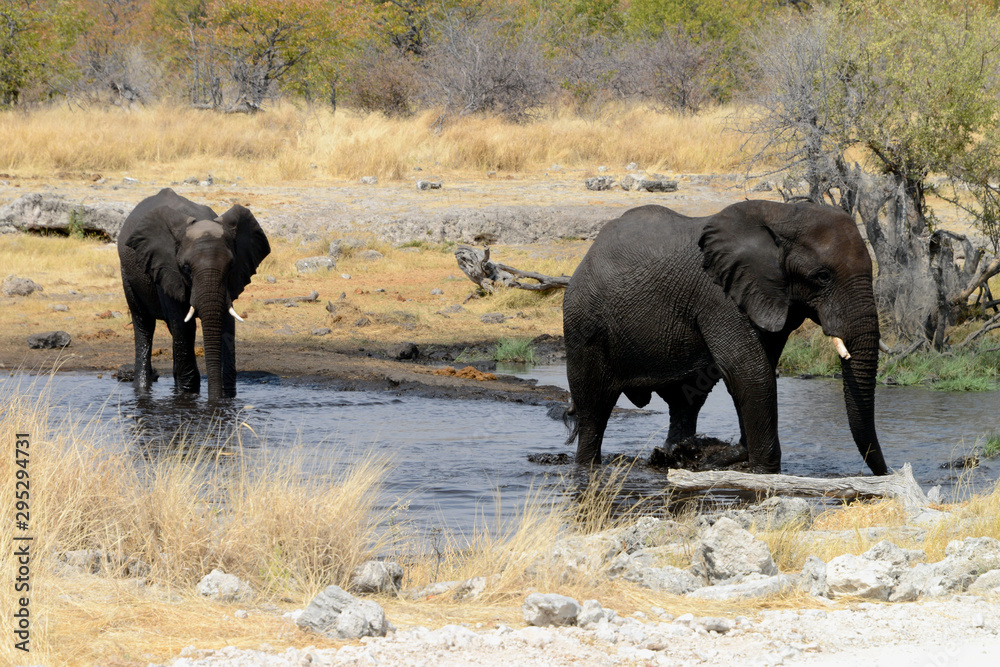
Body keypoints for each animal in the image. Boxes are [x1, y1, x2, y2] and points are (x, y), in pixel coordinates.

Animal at [118, 188, 271, 400]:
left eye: (231, 266)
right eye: (186, 268)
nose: (215, 400)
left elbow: (226, 324)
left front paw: (225, 396)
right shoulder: (167, 269)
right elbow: (184, 327)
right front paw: (189, 394)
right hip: (128, 275)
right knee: (145, 324)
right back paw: (142, 388)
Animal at [563, 200, 888, 475]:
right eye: (822, 276)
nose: (886, 473)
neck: (783, 214)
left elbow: (757, 370)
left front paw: (736, 458)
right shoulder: (720, 298)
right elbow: (750, 372)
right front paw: (764, 471)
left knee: (685, 401)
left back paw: (674, 456)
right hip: (584, 324)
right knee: (594, 409)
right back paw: (588, 469)